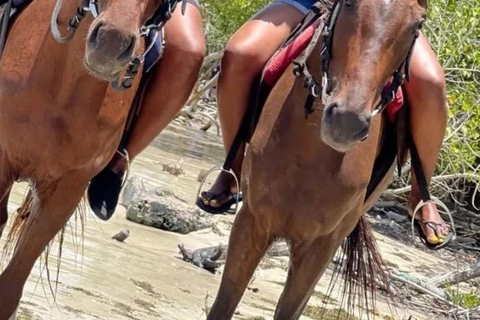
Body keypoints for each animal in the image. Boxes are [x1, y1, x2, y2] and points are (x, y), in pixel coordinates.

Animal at [207, 0, 428, 318]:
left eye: (418, 25)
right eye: (348, 3)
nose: (347, 121)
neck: (309, 155)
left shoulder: (322, 245)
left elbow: (289, 310)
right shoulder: (252, 222)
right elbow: (223, 304)